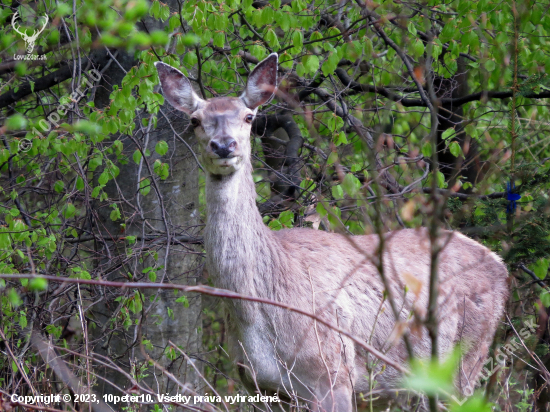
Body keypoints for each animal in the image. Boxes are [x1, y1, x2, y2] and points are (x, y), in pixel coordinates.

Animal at [154, 53, 508, 410]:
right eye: (195, 120)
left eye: (249, 116)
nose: (224, 145)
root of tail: (500, 265)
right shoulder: (263, 386)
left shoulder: (332, 371)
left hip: (465, 358)